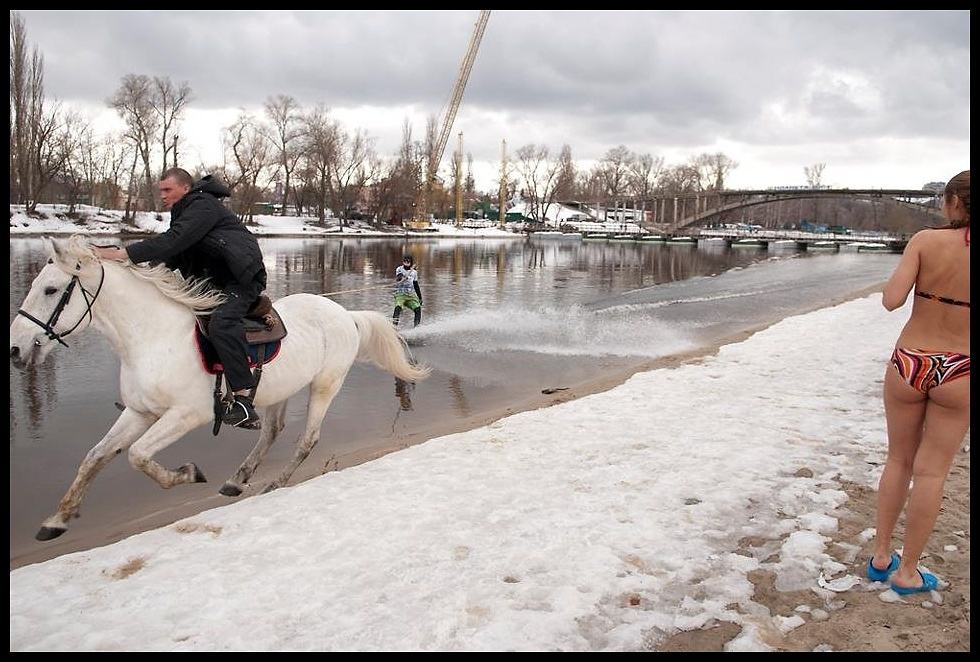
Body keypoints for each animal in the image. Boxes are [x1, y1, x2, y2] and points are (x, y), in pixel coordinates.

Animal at [7, 239, 428, 544]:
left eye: (51, 289)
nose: (15, 349)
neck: (153, 337)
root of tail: (346, 316)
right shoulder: (139, 412)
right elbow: (95, 458)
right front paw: (58, 519)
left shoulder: (187, 414)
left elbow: (139, 456)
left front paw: (188, 473)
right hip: (279, 391)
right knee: (271, 432)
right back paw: (237, 479)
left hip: (325, 385)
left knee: (306, 440)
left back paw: (273, 483)